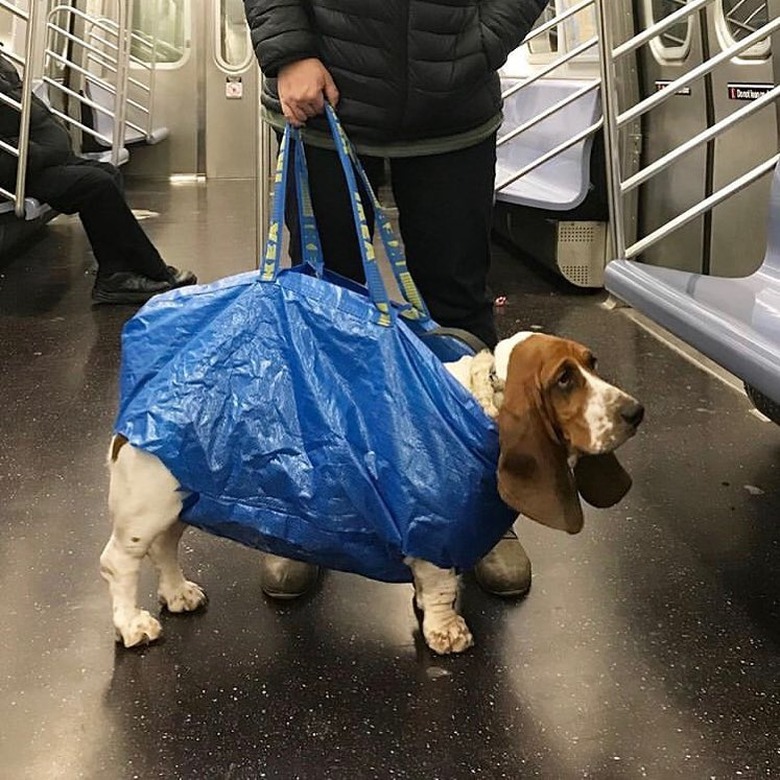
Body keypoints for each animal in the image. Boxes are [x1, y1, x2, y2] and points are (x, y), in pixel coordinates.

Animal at [100, 332, 644, 656]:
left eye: (593, 362)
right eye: (564, 379)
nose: (635, 411)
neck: (481, 402)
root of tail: (139, 402)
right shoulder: (433, 531)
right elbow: (441, 587)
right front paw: (446, 630)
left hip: (179, 503)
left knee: (165, 549)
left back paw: (178, 594)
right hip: (148, 504)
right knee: (118, 563)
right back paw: (133, 625)